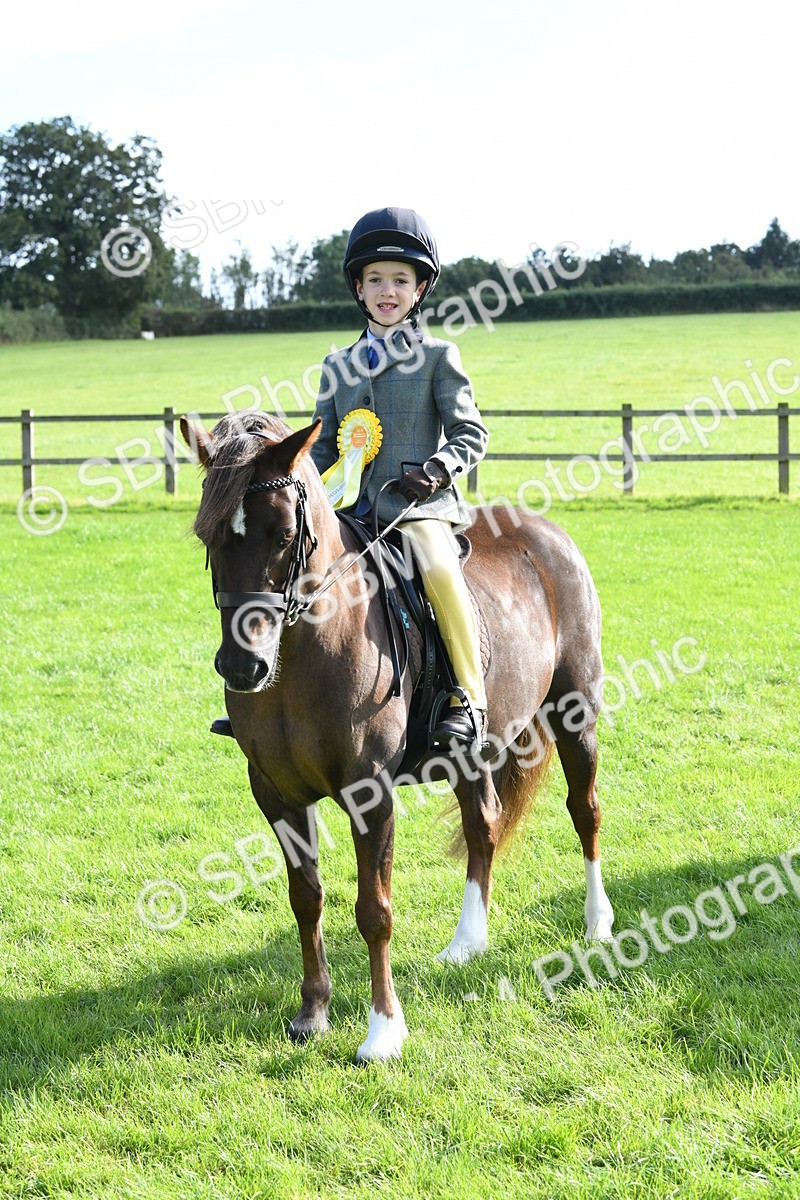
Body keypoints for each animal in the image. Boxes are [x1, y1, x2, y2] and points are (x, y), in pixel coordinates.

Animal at [180, 410, 614, 1062]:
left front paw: (383, 1031)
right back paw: (467, 943)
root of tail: (548, 534)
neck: (308, 654)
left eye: (284, 534)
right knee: (483, 824)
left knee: (584, 811)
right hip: (470, 750)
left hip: (574, 714)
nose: (242, 667)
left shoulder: (371, 795)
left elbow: (374, 910)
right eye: (209, 537)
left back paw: (597, 923)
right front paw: (313, 1012)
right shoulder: (276, 793)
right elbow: (306, 898)